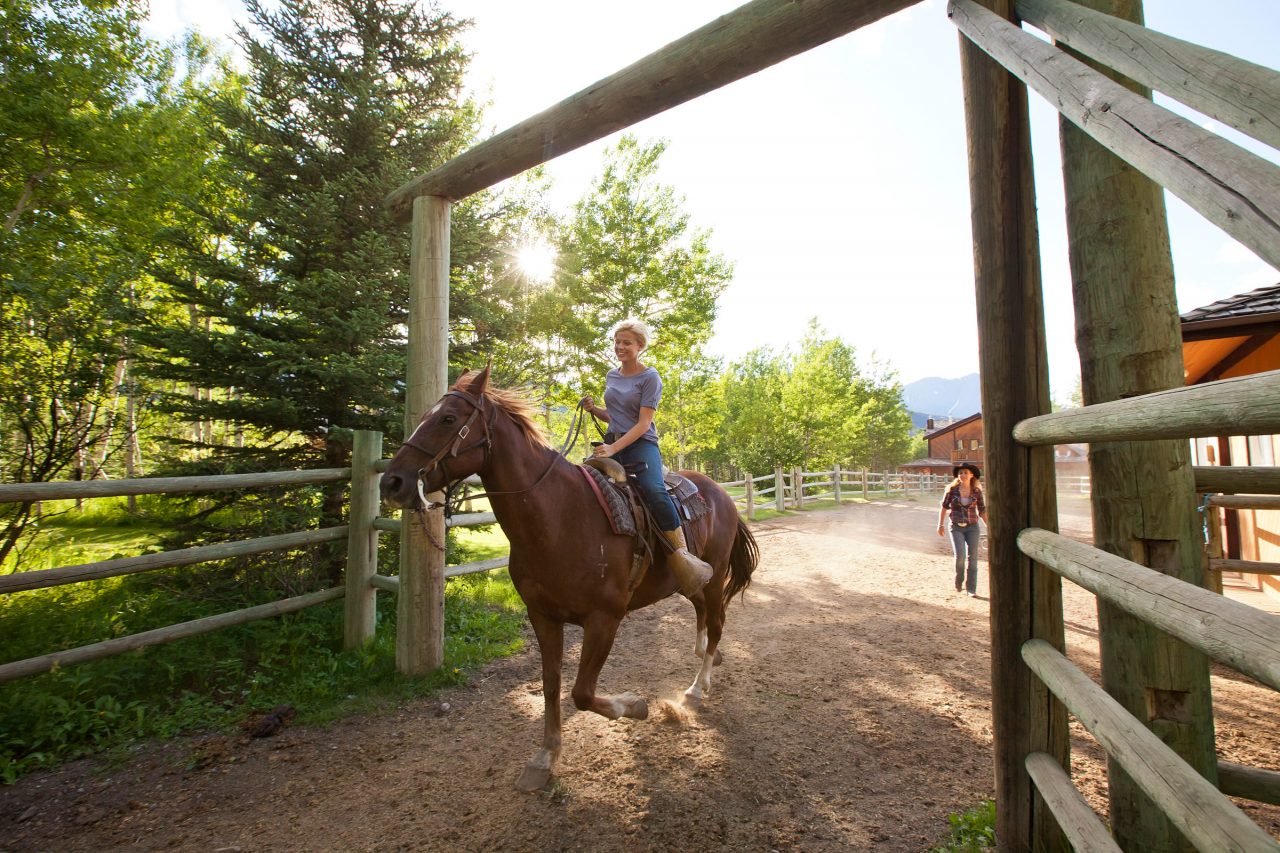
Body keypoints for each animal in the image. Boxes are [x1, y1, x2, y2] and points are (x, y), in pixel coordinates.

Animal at [378, 365, 759, 791]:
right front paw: (545, 757)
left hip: (714, 575)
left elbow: (582, 693)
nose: (392, 482)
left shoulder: (604, 619)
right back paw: (704, 663)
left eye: (447, 418)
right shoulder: (543, 616)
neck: (559, 516)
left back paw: (695, 689)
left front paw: (634, 705)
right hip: (687, 582)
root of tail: (721, 494)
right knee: (702, 616)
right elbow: (551, 686)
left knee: (717, 621)